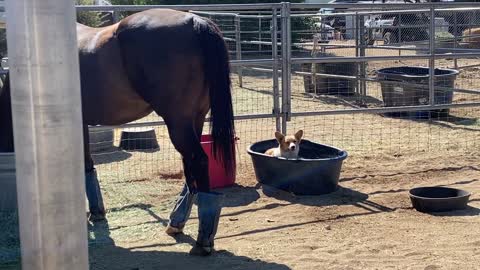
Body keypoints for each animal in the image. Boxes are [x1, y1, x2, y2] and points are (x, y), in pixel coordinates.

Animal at [0, 9, 235, 256]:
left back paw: (202, 242)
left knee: (197, 161)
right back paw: (176, 223)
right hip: (194, 118)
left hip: (178, 122)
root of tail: (195, 21)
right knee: (191, 167)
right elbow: (87, 163)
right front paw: (96, 212)